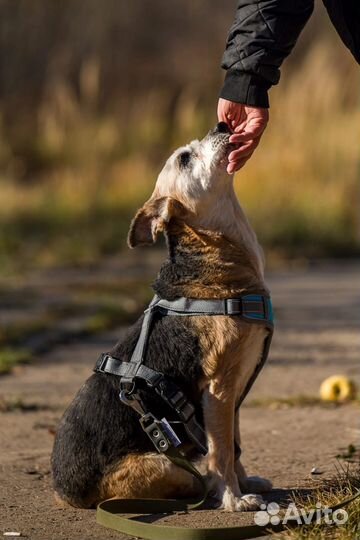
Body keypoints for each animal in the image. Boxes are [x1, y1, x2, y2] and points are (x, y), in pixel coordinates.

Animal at [51, 121, 272, 510]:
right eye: (184, 158)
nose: (222, 123)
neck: (212, 253)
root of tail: (66, 492)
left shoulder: (232, 397)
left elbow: (234, 446)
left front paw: (245, 484)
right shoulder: (220, 389)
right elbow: (222, 452)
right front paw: (233, 498)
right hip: (171, 469)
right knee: (195, 475)